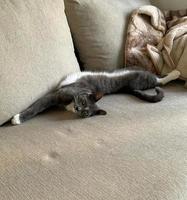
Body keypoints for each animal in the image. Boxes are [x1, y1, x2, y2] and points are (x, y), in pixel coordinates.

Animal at [11, 69, 180, 125]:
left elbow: (39, 106)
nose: (77, 108)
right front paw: (18, 118)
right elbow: (37, 106)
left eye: (86, 113)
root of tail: (130, 88)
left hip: (145, 79)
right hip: (144, 78)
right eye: (82, 101)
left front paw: (18, 119)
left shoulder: (56, 96)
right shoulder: (58, 94)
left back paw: (175, 72)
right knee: (158, 78)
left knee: (160, 80)